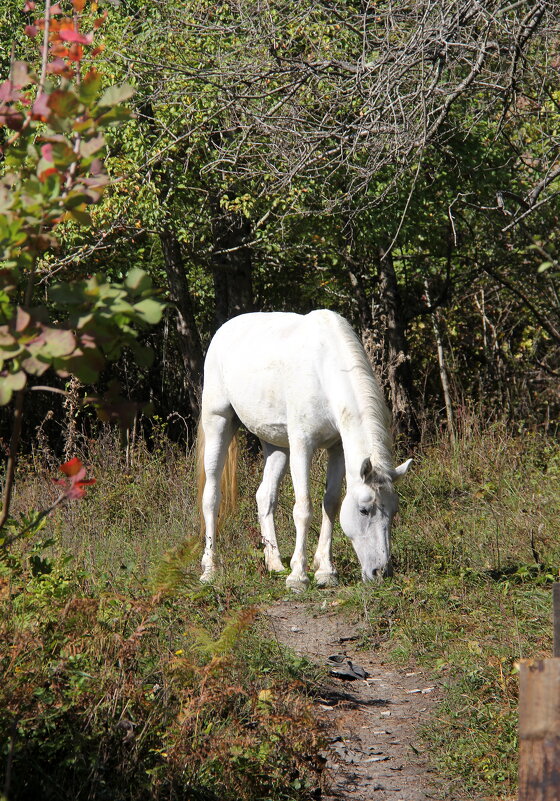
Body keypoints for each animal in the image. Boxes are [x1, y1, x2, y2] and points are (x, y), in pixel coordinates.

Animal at [198, 310, 412, 592]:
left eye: (394, 511)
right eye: (364, 510)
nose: (380, 572)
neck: (324, 369)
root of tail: (225, 329)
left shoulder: (337, 449)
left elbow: (330, 503)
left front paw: (326, 571)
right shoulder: (302, 445)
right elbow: (303, 508)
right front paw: (298, 576)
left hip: (277, 446)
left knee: (265, 496)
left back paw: (274, 563)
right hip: (218, 422)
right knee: (211, 496)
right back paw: (210, 569)